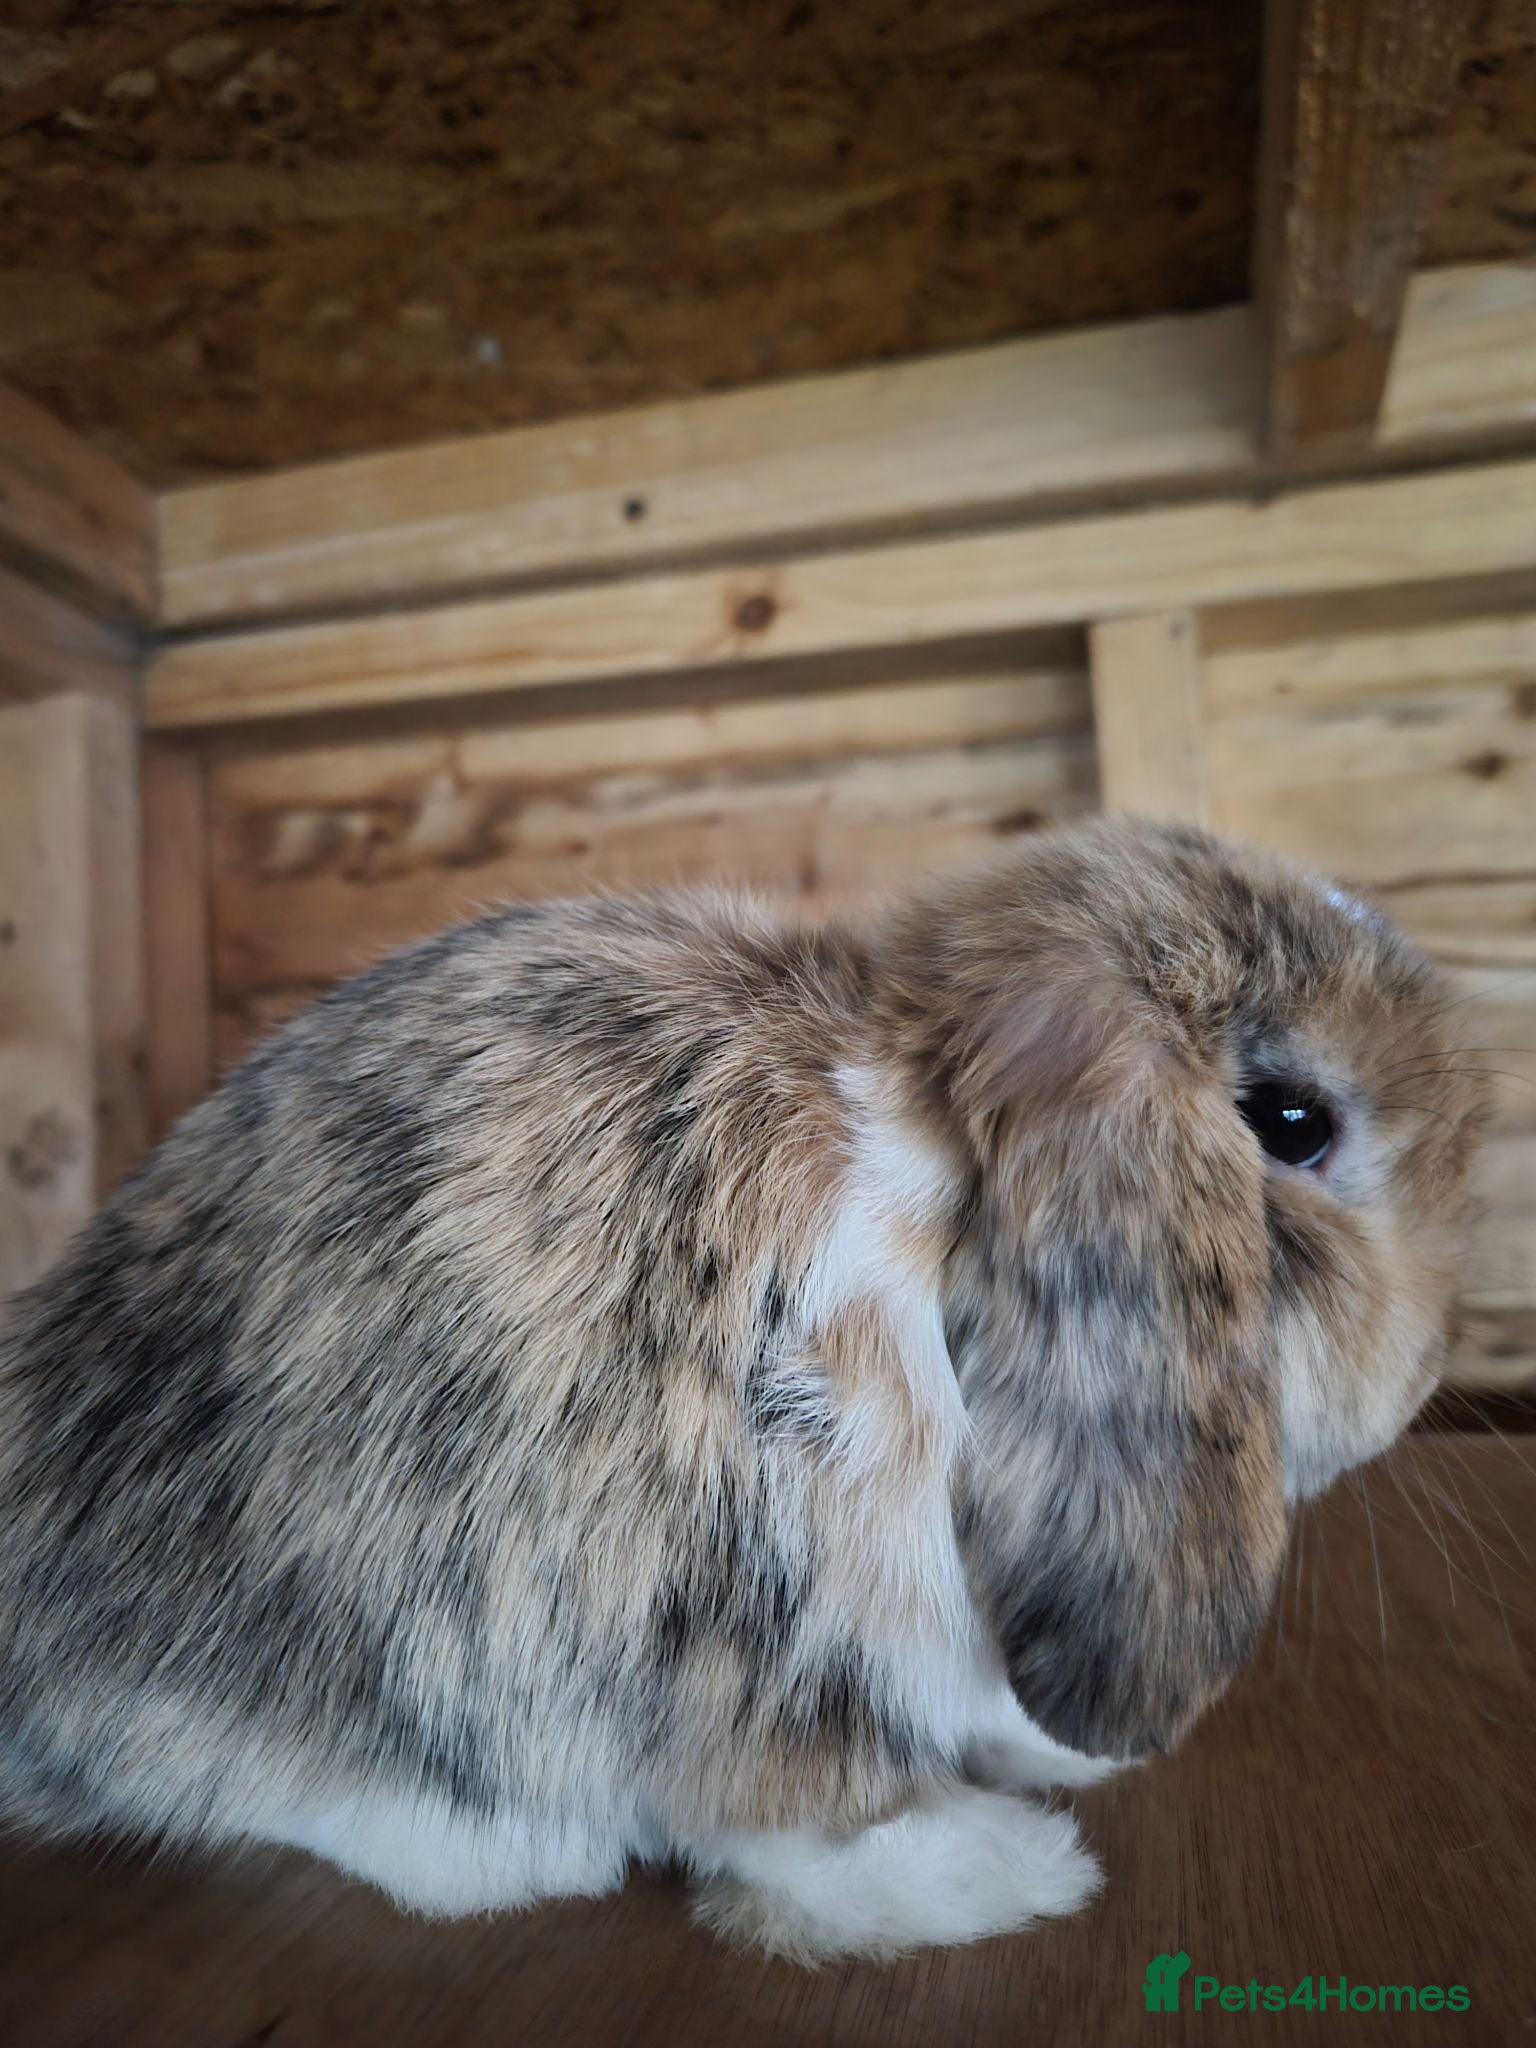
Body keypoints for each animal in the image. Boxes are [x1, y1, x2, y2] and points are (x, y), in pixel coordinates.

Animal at [0, 817, 1485, 1961]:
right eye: (1291, 1123)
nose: (1425, 1367)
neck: (925, 1187)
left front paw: (1059, 1768)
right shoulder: (764, 1618)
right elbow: (802, 1823)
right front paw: (999, 1874)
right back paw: (505, 1856)